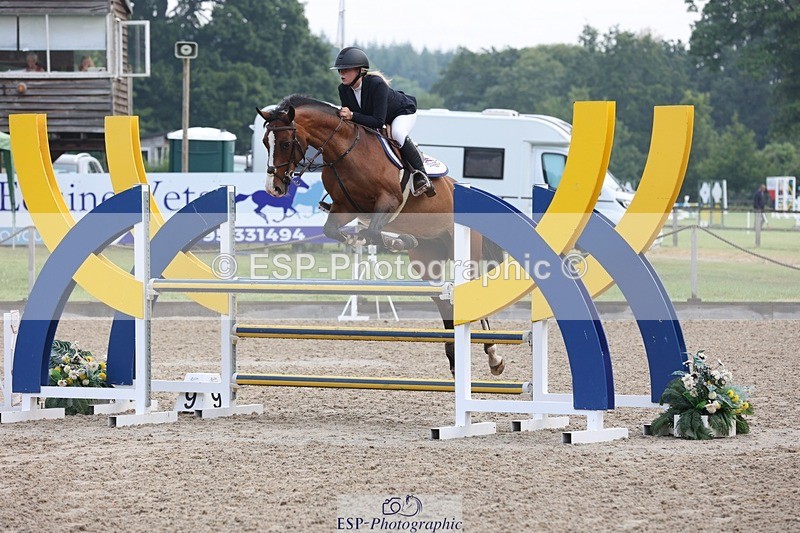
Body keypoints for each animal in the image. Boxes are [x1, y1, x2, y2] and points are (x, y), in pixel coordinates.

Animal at [257, 94, 505, 376]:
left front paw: (395, 240)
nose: (274, 188)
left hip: (466, 254)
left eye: (286, 143)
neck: (344, 151)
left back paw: (494, 355)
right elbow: (336, 230)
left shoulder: (388, 200)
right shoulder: (344, 208)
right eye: (265, 142)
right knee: (444, 299)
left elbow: (373, 231)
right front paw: (379, 240)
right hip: (428, 260)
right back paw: (454, 359)